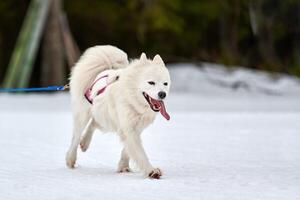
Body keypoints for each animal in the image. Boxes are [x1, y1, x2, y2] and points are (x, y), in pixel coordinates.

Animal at [67, 45, 172, 178]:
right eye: (151, 82)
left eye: (165, 84)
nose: (162, 94)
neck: (133, 102)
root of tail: (102, 72)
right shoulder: (128, 129)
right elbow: (140, 153)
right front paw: (151, 171)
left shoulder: (135, 129)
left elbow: (127, 151)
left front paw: (123, 167)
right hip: (83, 116)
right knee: (75, 137)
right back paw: (70, 159)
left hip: (106, 120)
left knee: (94, 123)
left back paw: (85, 143)